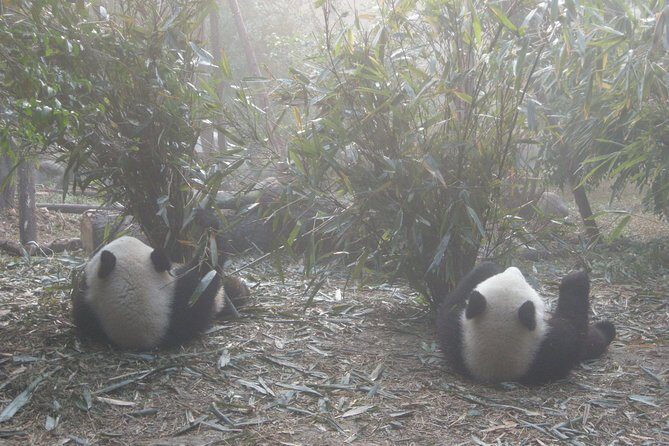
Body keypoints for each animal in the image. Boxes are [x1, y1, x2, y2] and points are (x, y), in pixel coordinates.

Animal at [436, 263, 615, 384]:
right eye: (523, 280)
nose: (513, 267)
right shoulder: (550, 352)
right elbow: (578, 335)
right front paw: (576, 279)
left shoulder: (456, 339)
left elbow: (449, 307)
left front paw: (487, 267)